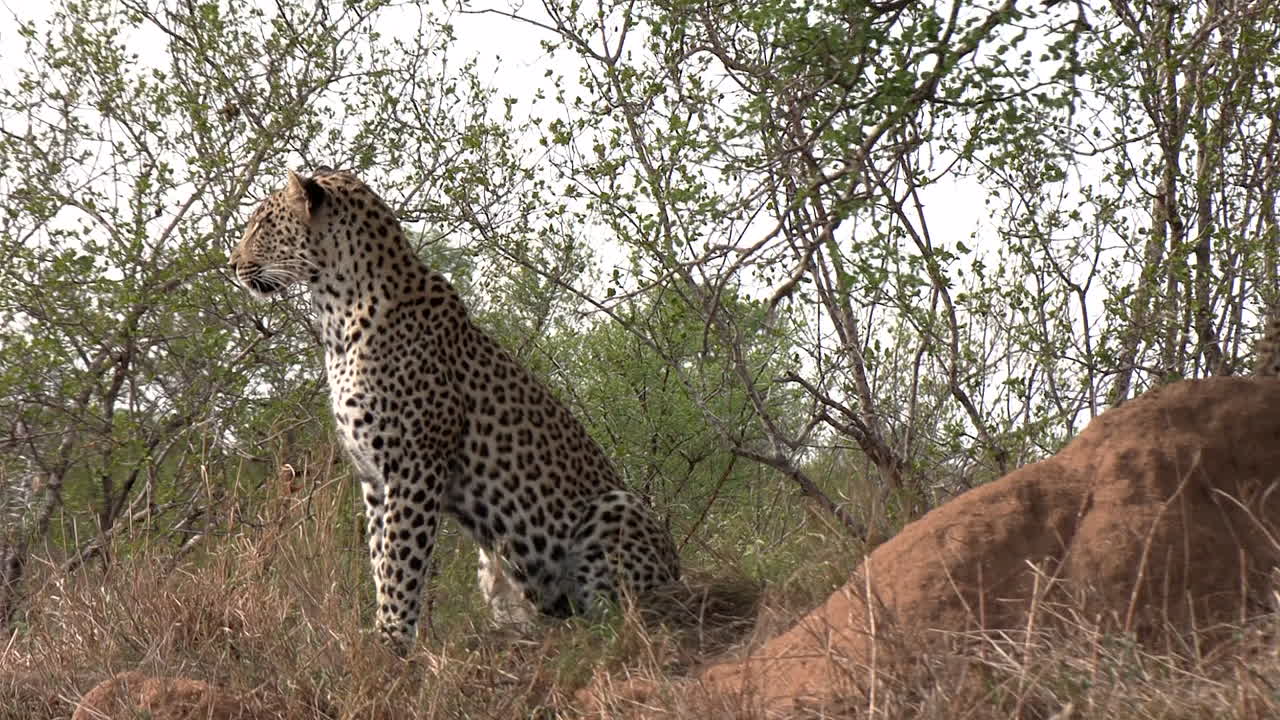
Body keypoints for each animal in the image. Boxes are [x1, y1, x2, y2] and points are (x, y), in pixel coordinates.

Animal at [228, 168, 680, 652]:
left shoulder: (415, 464)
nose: (232, 265)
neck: (336, 314)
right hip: (495, 563)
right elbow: (380, 559)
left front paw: (392, 644)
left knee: (617, 614)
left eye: (262, 225)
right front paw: (382, 636)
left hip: (615, 510)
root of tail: (678, 573)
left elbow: (401, 563)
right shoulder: (373, 479)